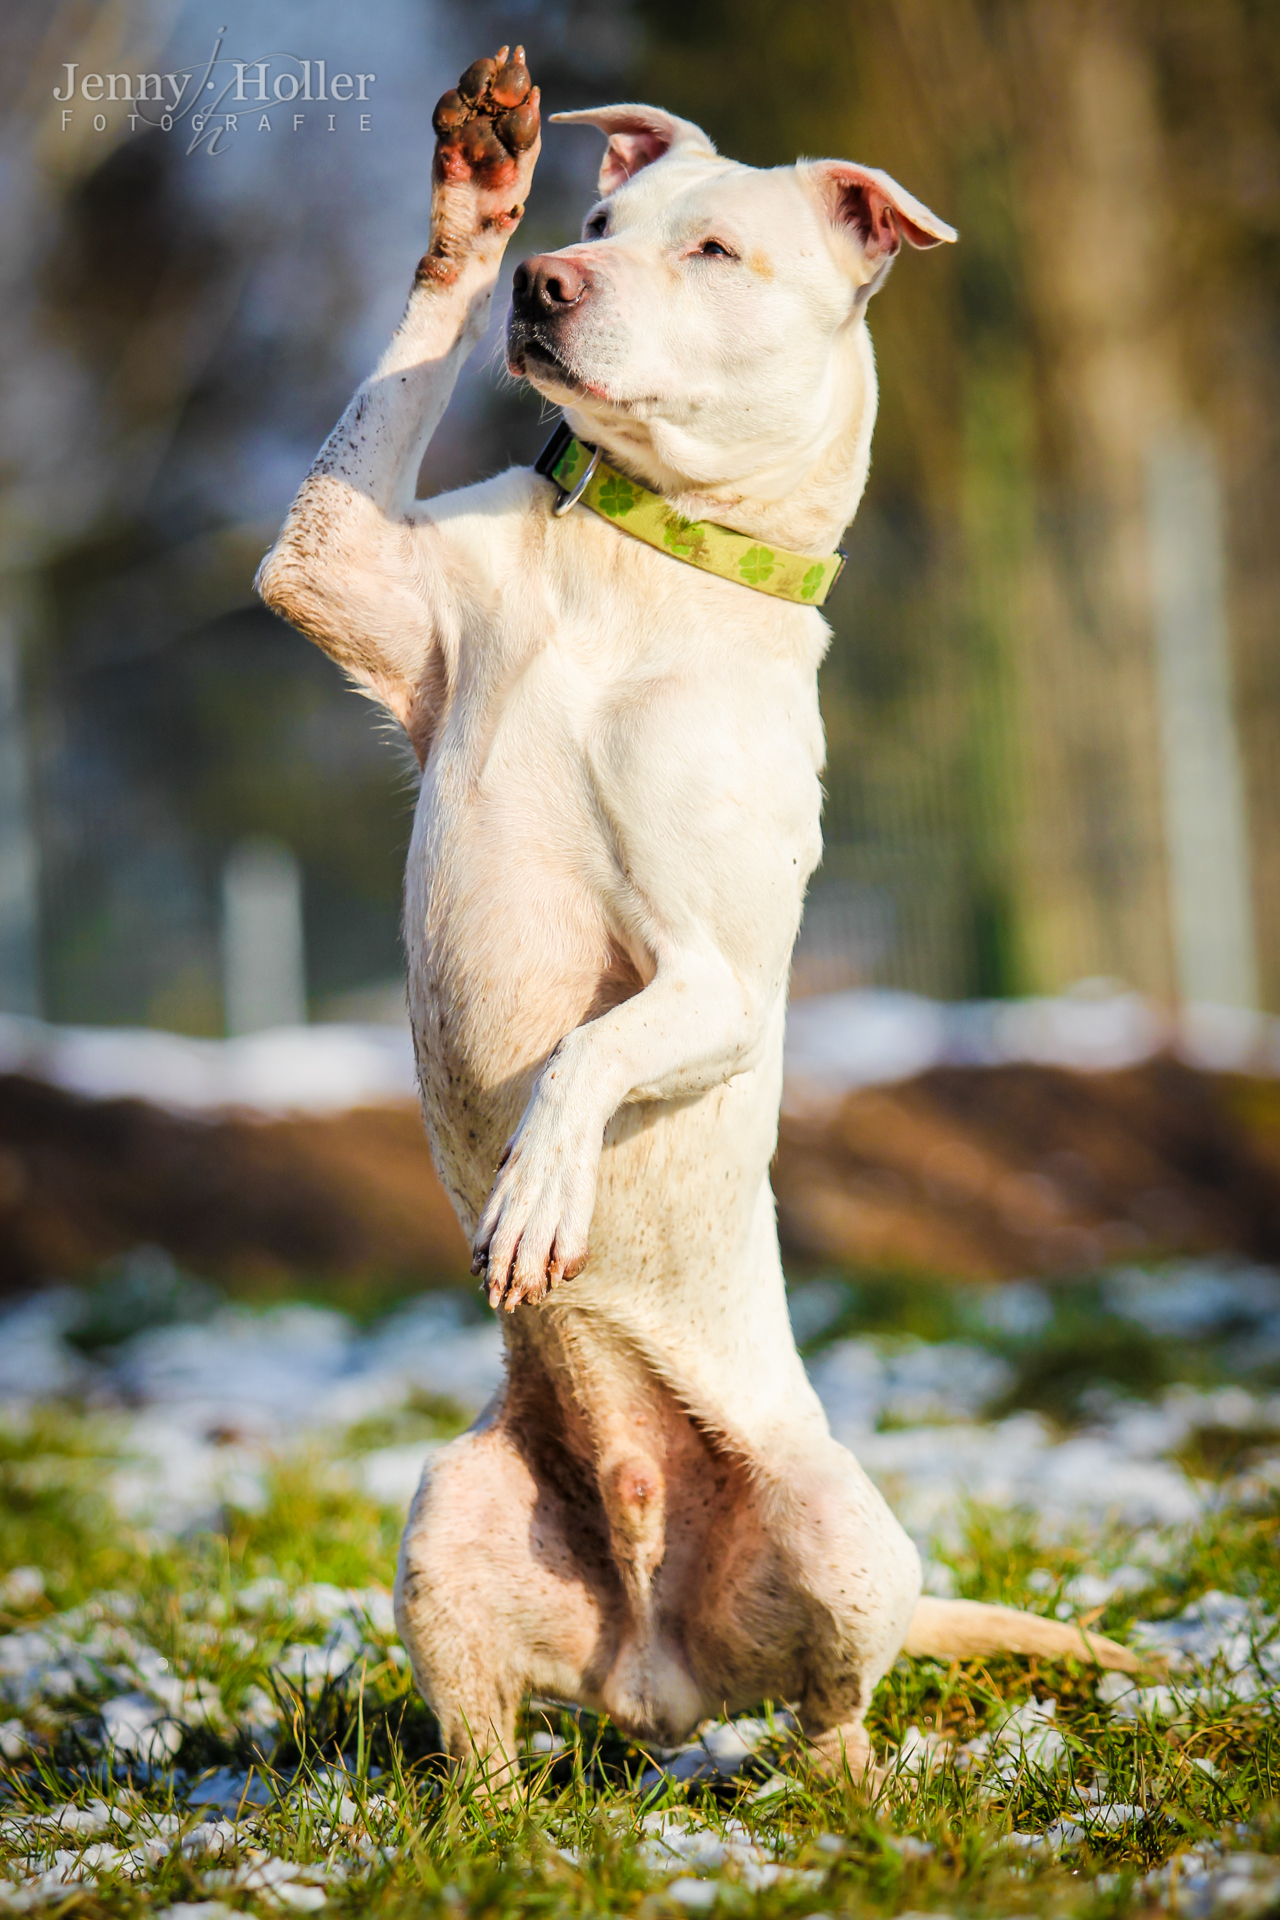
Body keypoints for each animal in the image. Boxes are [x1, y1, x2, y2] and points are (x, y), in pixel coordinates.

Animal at [255, 45, 1136, 1781]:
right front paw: (476, 187)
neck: (645, 555)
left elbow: (587, 1055)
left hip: (847, 1536)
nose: (546, 278)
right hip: (447, 1510)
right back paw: (485, 1815)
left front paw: (537, 1193)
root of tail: (661, 1675)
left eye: (715, 252)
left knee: (836, 1703)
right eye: (595, 222)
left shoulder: (717, 981)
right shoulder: (325, 568)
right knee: (484, 1746)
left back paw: (851, 1793)